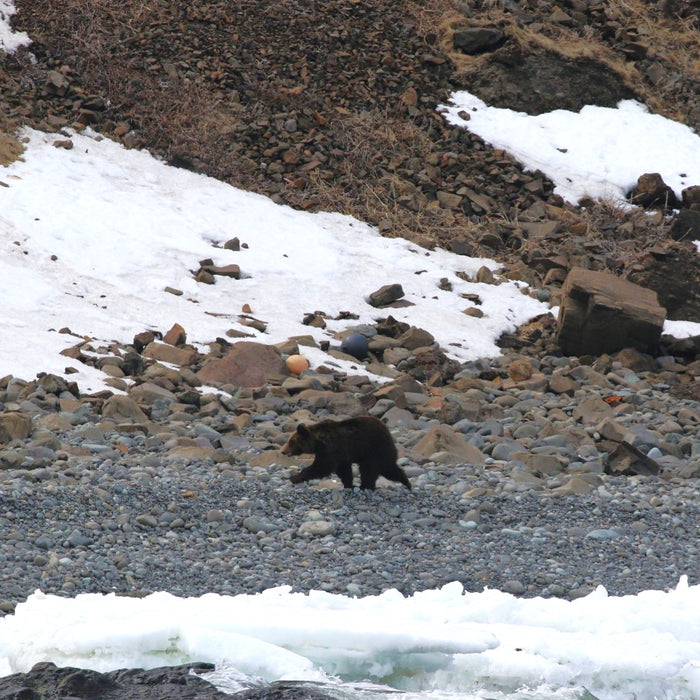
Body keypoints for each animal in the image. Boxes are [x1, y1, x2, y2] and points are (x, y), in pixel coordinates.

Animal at [281, 416, 411, 490]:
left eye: (291, 442)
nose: (283, 451)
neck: (319, 442)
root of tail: (388, 433)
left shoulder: (332, 448)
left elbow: (322, 467)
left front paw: (295, 477)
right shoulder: (341, 455)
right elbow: (343, 470)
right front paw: (349, 484)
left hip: (374, 450)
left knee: (370, 470)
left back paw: (365, 486)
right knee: (390, 469)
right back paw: (406, 482)